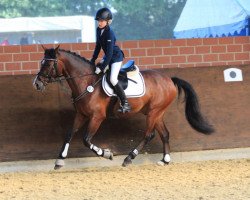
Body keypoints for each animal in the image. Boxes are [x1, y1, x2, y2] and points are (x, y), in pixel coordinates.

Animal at [32, 45, 214, 169]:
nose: (37, 83)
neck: (87, 81)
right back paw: (165, 160)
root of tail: (169, 79)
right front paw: (59, 160)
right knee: (165, 134)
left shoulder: (97, 117)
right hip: (156, 112)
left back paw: (129, 158)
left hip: (154, 112)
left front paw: (106, 154)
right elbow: (69, 134)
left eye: (48, 65)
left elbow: (86, 140)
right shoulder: (81, 115)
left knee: (149, 134)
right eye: (41, 62)